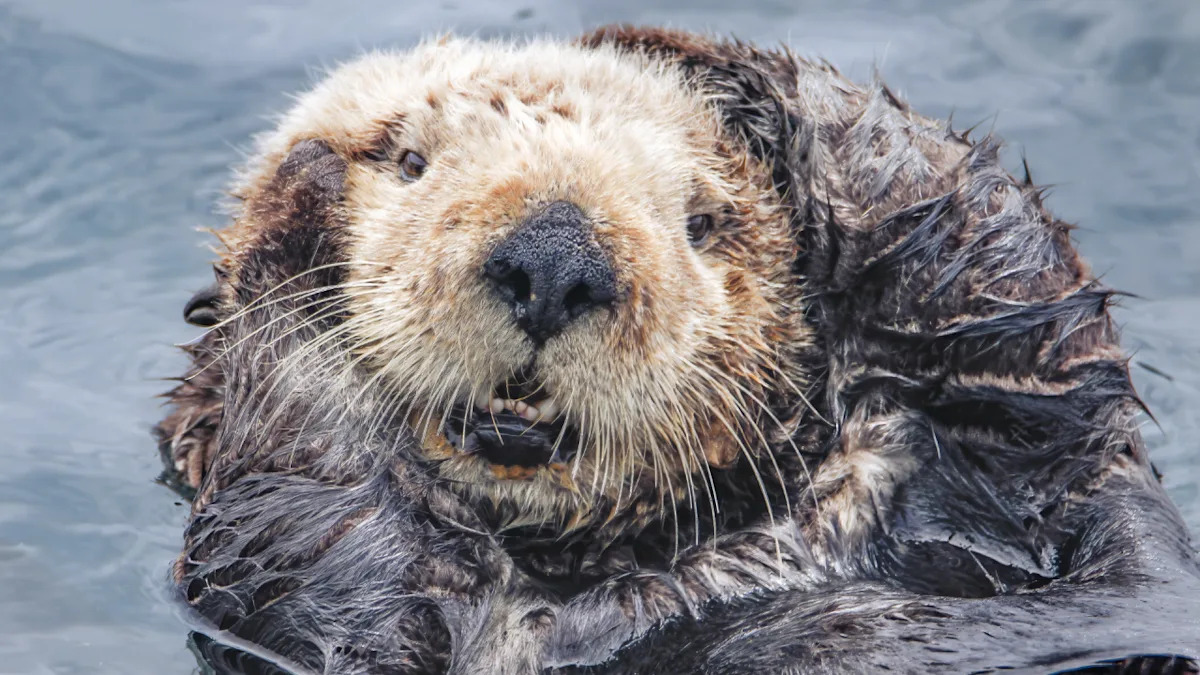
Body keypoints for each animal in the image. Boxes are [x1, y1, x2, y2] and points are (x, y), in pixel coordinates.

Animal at [156, 27, 1200, 673]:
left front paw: (708, 68)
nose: (554, 256)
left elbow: (1021, 319)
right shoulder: (369, 613)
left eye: (702, 221)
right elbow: (323, 502)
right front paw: (295, 208)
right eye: (407, 161)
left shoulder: (1016, 447)